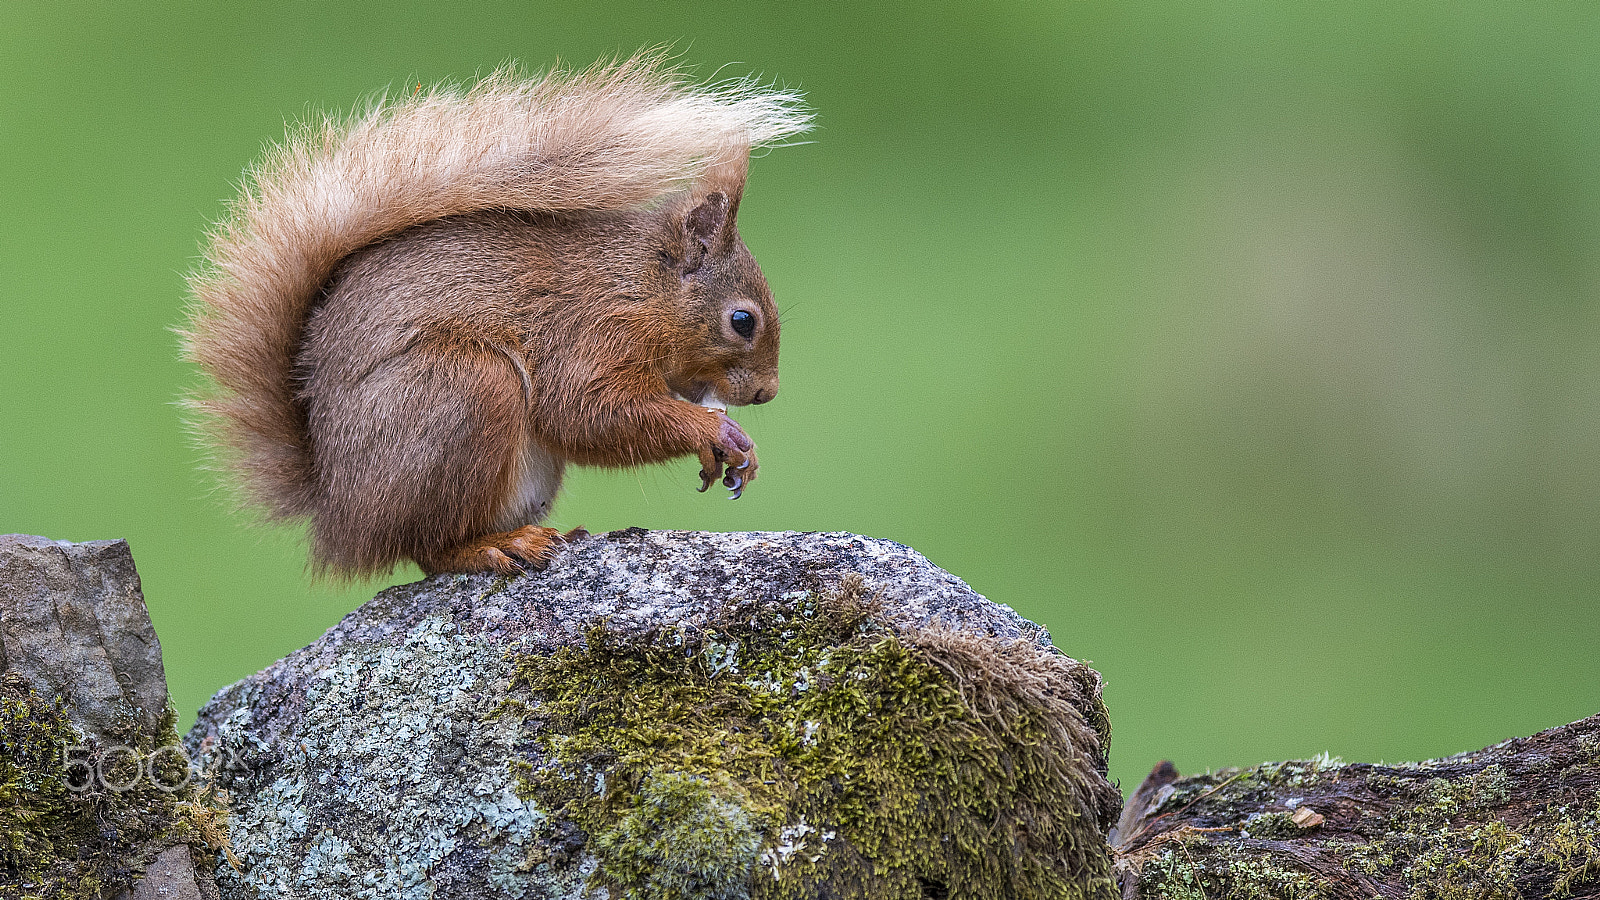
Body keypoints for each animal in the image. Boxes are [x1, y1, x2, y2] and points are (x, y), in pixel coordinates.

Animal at [184, 57, 812, 573]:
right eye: (743, 321)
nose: (767, 393)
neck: (641, 286)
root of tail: (339, 514)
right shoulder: (590, 333)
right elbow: (586, 412)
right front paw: (717, 429)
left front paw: (740, 455)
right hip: (466, 390)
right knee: (431, 549)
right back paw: (493, 547)